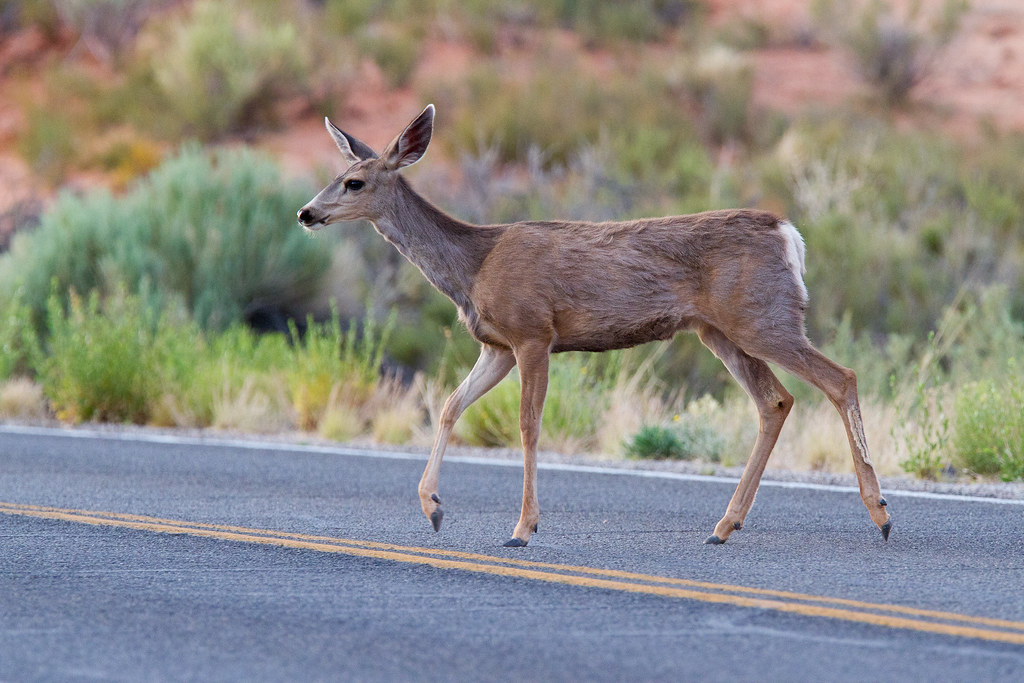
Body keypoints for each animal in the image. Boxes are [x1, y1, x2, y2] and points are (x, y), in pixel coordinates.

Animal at [297, 104, 892, 547]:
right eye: (333, 177)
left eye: (353, 182)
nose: (305, 213)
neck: (474, 263)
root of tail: (789, 235)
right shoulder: (497, 346)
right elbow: (448, 406)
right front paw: (433, 508)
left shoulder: (533, 332)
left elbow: (528, 425)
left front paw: (522, 528)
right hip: (719, 330)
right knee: (775, 401)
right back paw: (724, 525)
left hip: (764, 317)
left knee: (840, 377)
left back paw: (881, 513)